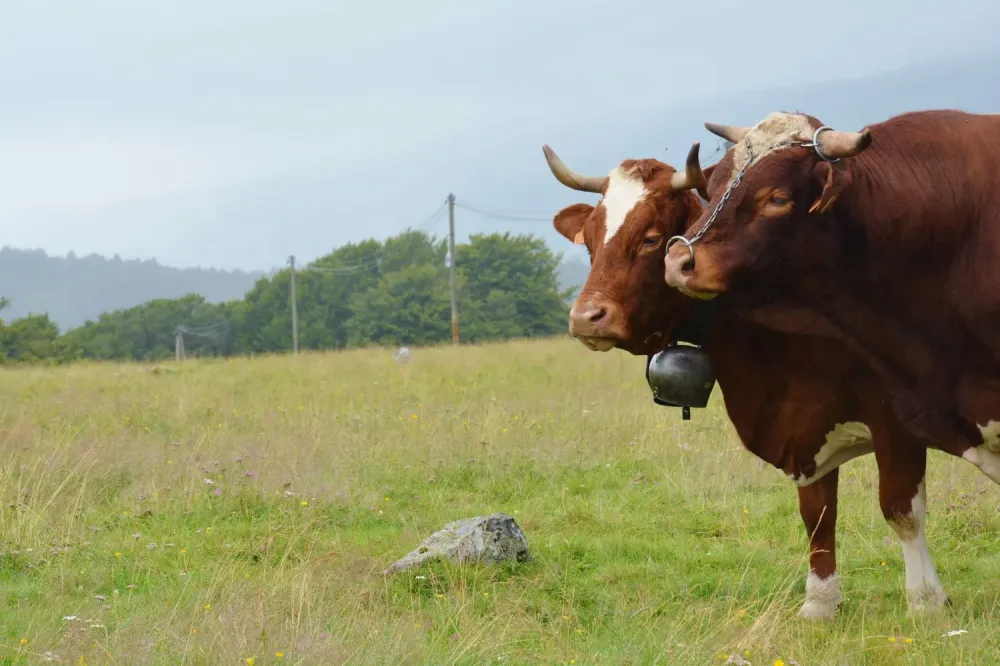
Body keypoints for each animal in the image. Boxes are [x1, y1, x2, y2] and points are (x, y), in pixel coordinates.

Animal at [542, 140, 973, 618]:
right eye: (590, 241)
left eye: (650, 238)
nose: (585, 317)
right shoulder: (806, 424)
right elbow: (817, 512)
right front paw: (821, 602)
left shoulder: (897, 424)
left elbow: (901, 509)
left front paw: (927, 602)